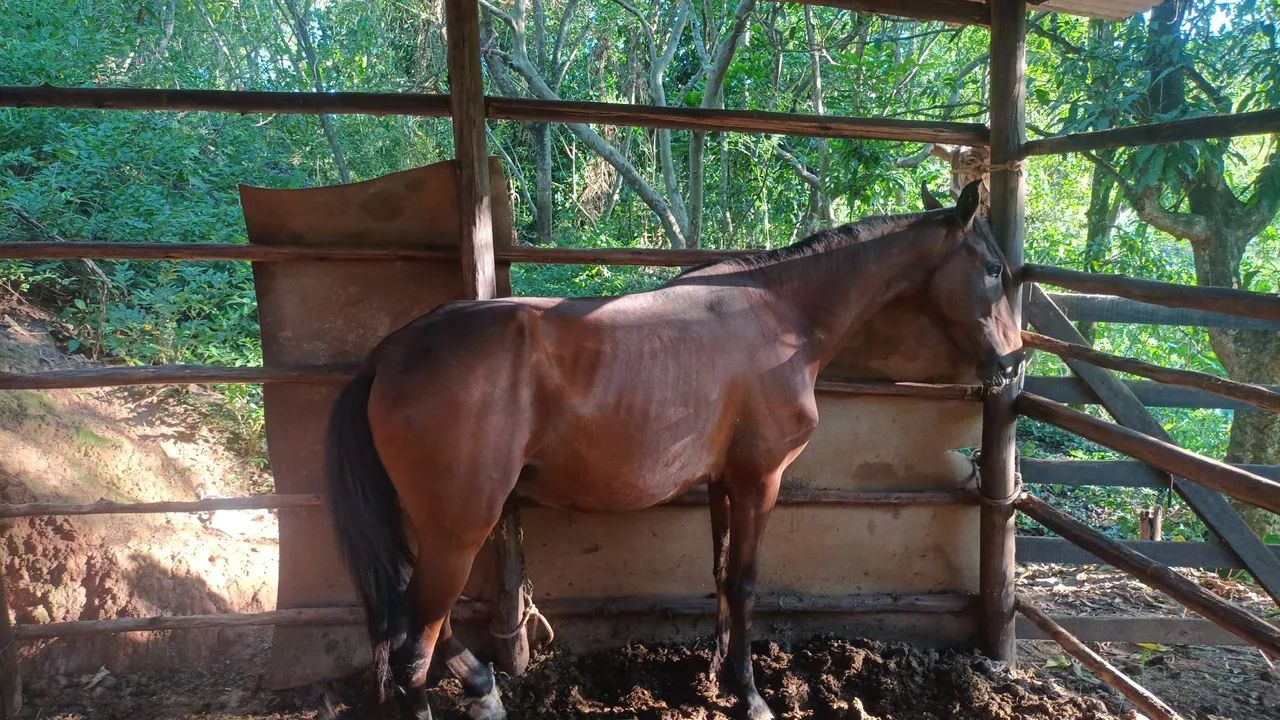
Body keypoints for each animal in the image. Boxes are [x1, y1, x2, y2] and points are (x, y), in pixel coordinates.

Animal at [323, 180, 1023, 720]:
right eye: (993, 270)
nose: (1013, 365)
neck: (779, 316)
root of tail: (390, 354)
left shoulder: (721, 481)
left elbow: (718, 575)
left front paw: (719, 675)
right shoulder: (758, 479)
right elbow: (744, 582)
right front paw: (751, 696)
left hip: (437, 527)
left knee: (417, 616)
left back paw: (480, 684)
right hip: (461, 527)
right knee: (412, 646)